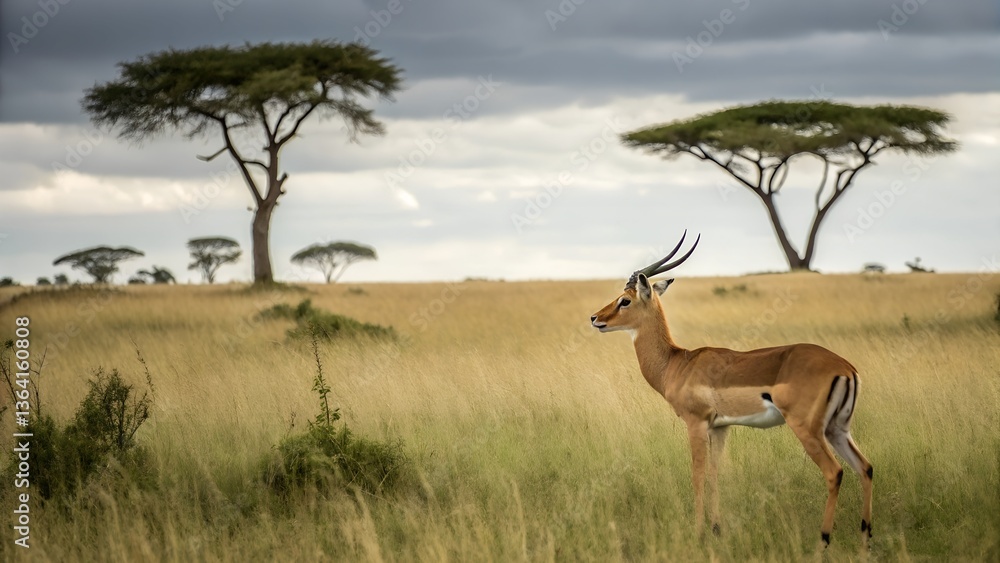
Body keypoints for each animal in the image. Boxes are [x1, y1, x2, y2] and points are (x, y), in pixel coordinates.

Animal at [590, 232, 873, 549]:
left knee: (835, 472)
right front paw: (716, 528)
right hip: (838, 429)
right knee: (865, 468)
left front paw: (698, 533)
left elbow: (698, 475)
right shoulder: (720, 428)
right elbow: (715, 474)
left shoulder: (696, 423)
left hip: (809, 430)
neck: (678, 363)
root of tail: (845, 368)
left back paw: (823, 541)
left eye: (624, 300)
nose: (595, 318)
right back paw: (865, 540)